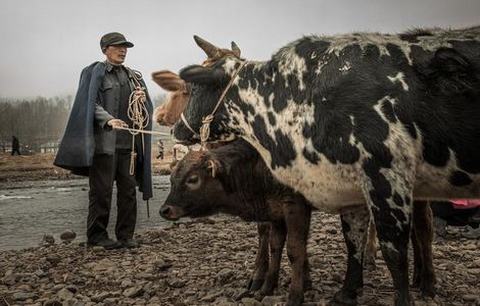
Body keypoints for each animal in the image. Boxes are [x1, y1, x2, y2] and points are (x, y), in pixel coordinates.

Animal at [172, 26, 480, 306]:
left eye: (192, 88)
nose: (175, 128)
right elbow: (345, 238)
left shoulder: (384, 178)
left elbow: (391, 249)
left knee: (423, 230)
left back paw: (426, 283)